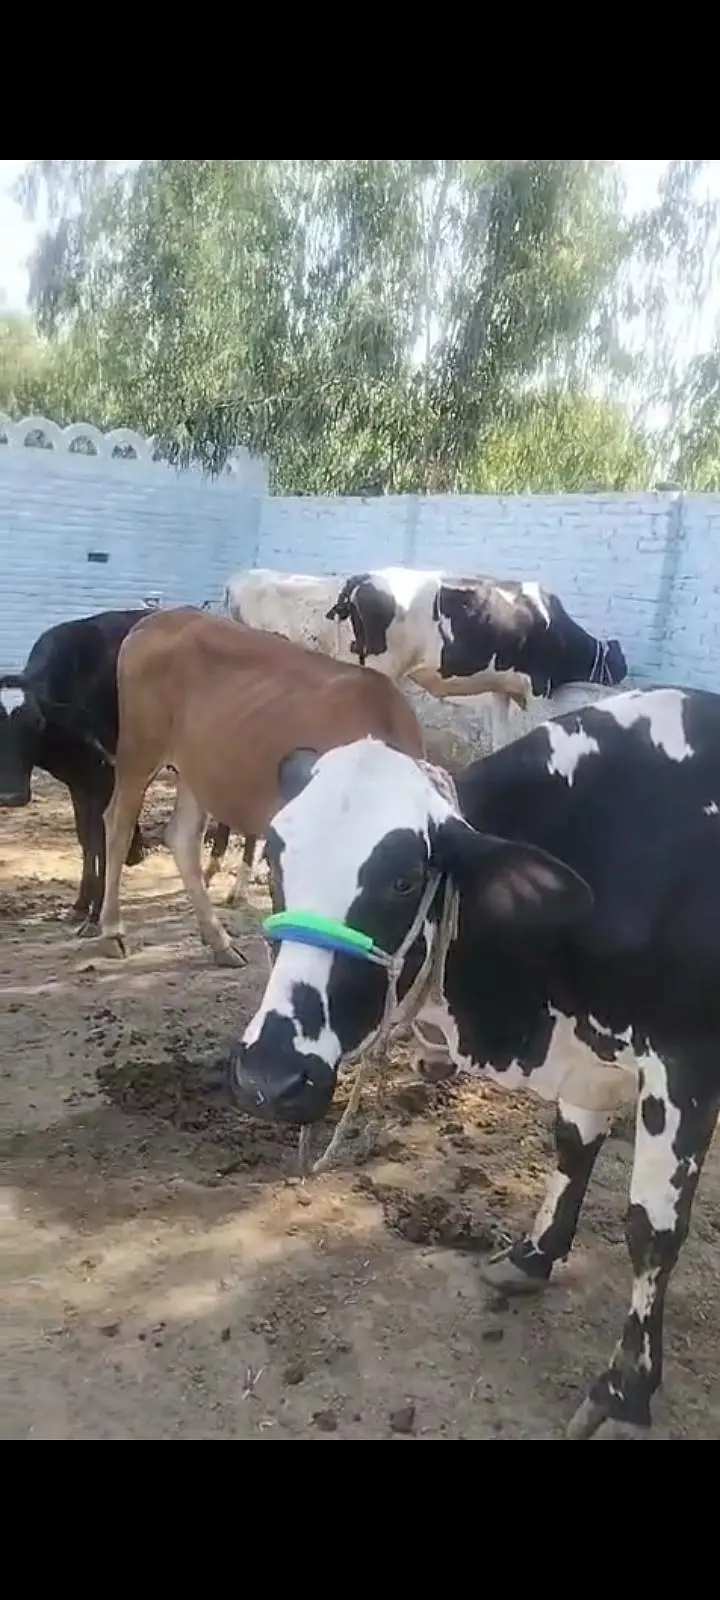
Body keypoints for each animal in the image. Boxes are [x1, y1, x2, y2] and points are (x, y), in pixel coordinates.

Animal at [0, 610, 150, 929]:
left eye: (37, 723)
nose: (10, 797)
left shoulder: (105, 778)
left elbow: (102, 839)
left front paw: (96, 915)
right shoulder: (78, 782)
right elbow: (86, 839)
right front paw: (81, 906)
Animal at [93, 606, 424, 968]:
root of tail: (154, 619)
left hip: (197, 769)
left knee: (182, 836)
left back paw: (219, 942)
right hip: (140, 750)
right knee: (118, 822)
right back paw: (112, 931)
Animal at [227, 686, 720, 1439]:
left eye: (405, 880)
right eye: (277, 861)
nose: (270, 1077)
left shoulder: (685, 1062)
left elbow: (652, 1230)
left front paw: (624, 1394)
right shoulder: (590, 1054)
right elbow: (571, 1150)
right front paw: (531, 1259)